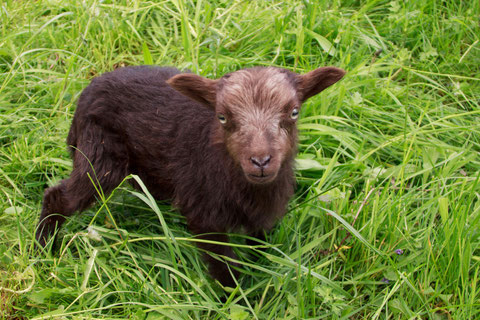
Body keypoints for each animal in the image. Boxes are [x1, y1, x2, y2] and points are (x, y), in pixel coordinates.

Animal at [36, 64, 344, 284]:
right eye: (222, 116)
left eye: (294, 112)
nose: (260, 161)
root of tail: (85, 94)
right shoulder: (205, 215)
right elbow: (226, 269)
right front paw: (235, 298)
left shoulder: (263, 214)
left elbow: (259, 248)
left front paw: (261, 274)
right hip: (99, 156)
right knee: (58, 197)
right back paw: (43, 251)